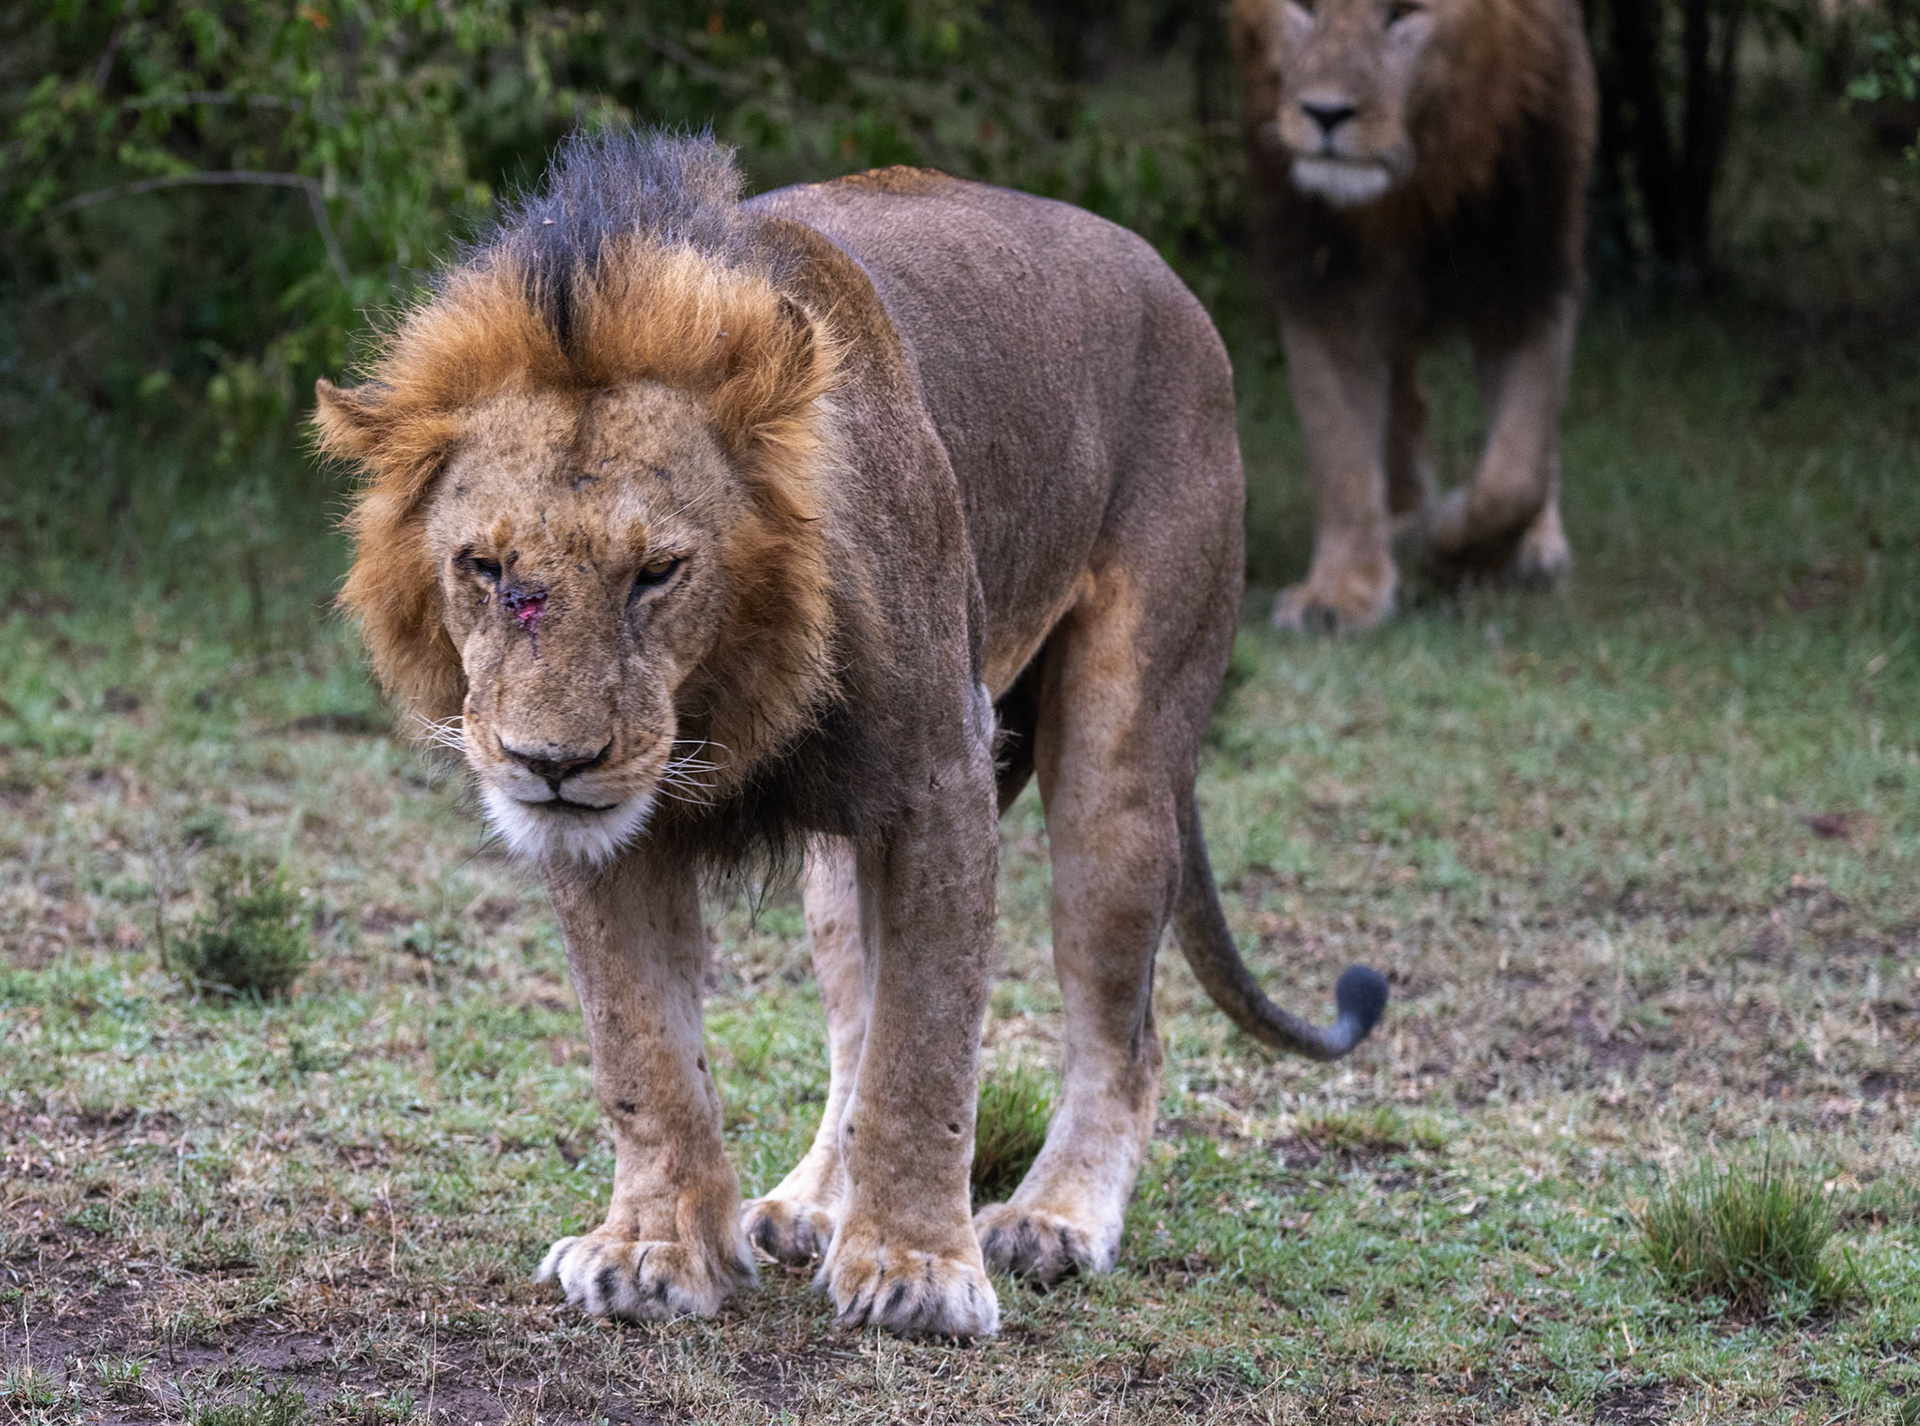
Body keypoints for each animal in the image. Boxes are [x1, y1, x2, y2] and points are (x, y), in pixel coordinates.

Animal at [314, 131, 1387, 1339]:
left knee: (1125, 1026)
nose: (552, 764)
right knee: (854, 1019)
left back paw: (1051, 1219)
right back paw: (809, 1207)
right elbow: (647, 1054)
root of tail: (1168, 283)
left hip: (1122, 758)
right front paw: (652, 1250)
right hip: (841, 852)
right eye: (485, 567)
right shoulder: (611, 833)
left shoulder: (940, 775)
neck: (721, 696)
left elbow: (924, 1049)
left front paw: (918, 1270)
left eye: (658, 572)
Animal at [1232, 0, 1597, 632]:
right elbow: (1343, 454)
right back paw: (1401, 512)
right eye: (1303, 8)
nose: (1325, 113)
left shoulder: (1530, 277)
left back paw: (1535, 547)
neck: (1416, 189)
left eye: (1403, 14)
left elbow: (1515, 472)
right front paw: (1342, 592)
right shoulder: (1323, 285)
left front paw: (1454, 548)